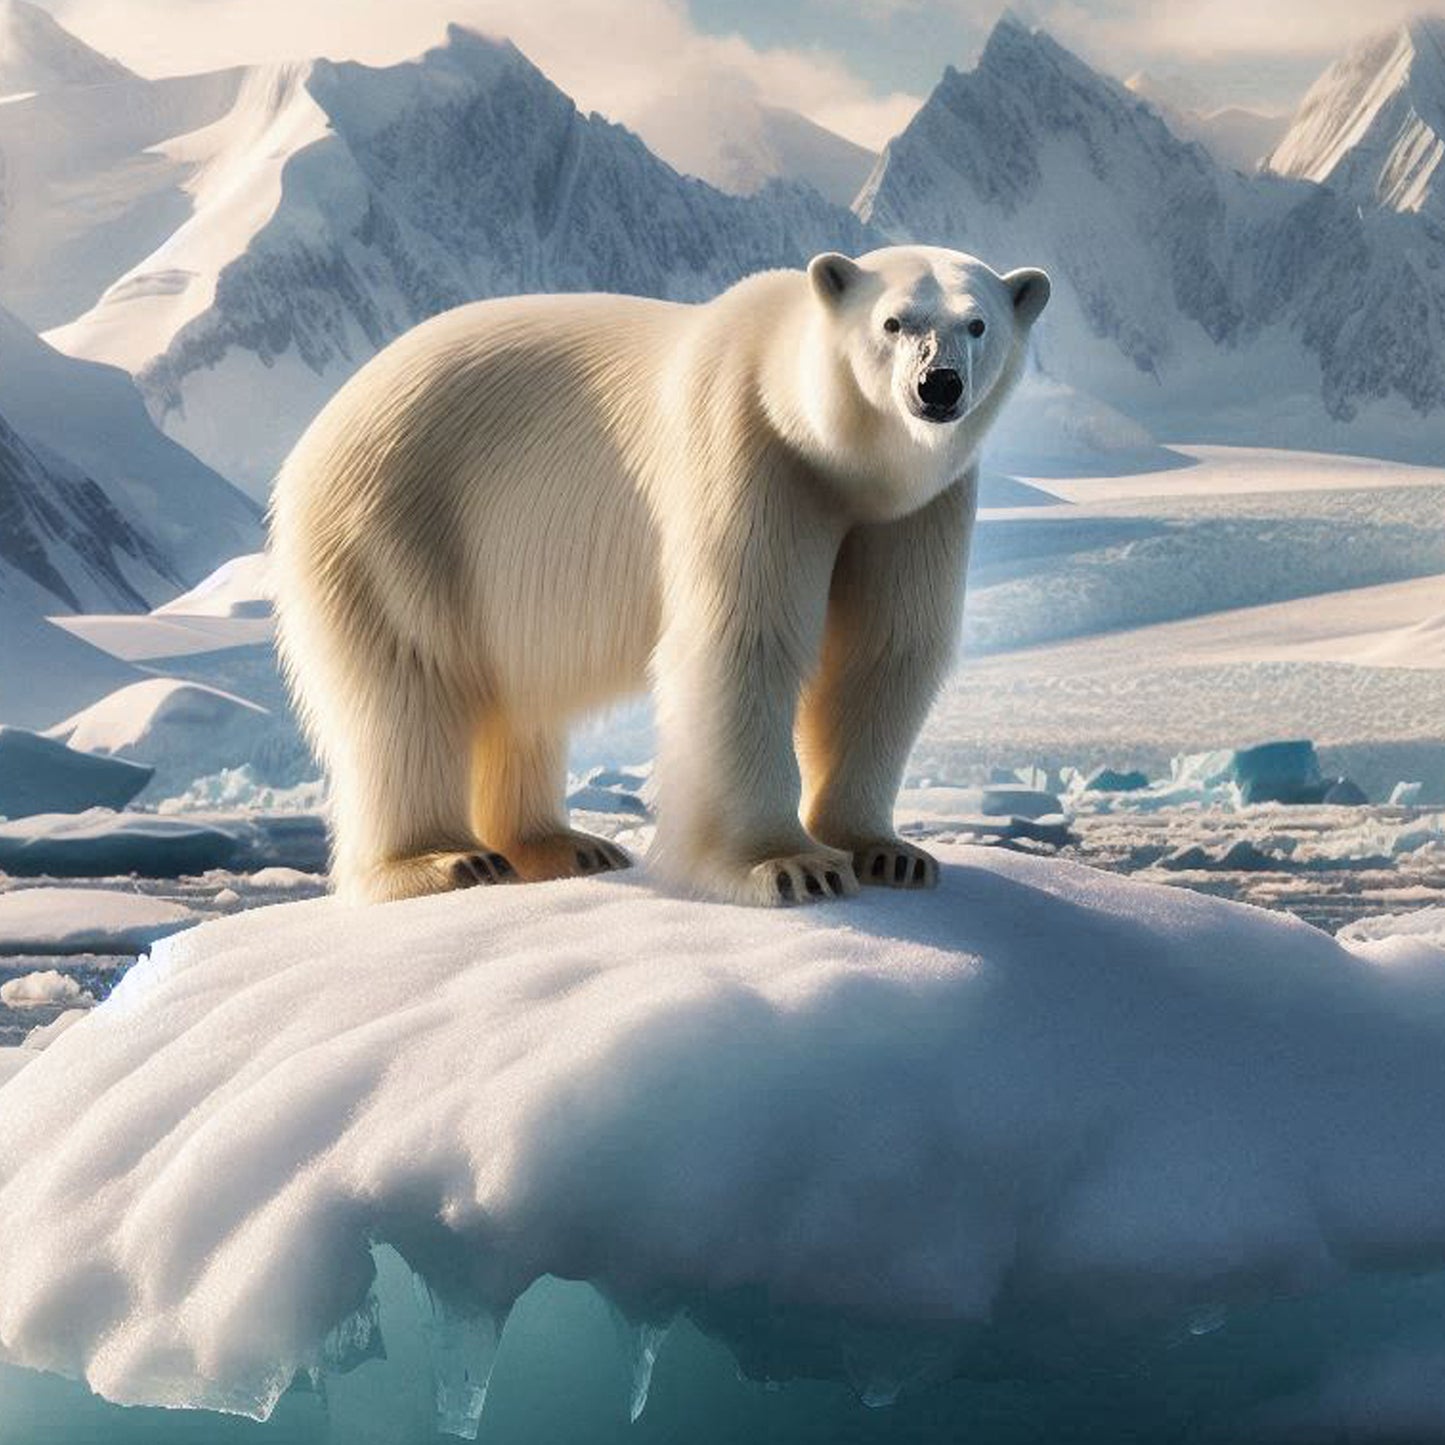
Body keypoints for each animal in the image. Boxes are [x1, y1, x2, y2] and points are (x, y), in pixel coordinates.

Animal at [270, 245, 1049, 906]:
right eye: (893, 321)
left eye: (977, 322)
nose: (938, 385)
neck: (834, 457)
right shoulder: (749, 449)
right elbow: (745, 641)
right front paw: (790, 866)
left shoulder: (915, 508)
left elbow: (885, 649)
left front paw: (887, 853)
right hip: (397, 523)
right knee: (409, 686)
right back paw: (446, 859)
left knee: (516, 700)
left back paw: (565, 845)